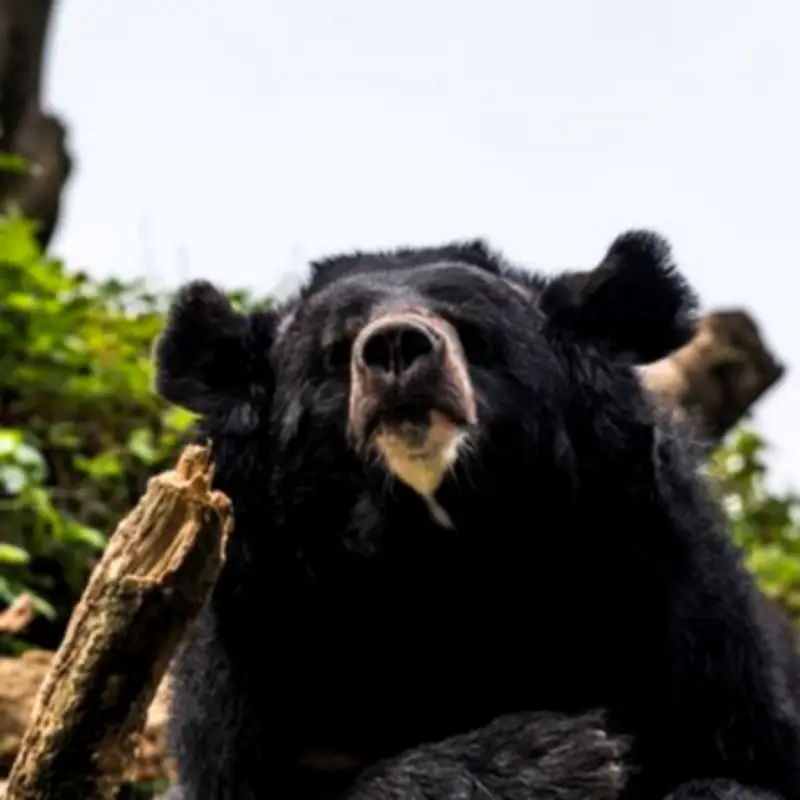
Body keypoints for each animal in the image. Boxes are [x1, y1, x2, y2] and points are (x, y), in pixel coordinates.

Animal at [154, 229, 800, 800]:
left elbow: (736, 766)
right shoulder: (258, 636)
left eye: (471, 331)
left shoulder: (679, 608)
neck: (446, 552)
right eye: (335, 352)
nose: (396, 346)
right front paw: (556, 758)